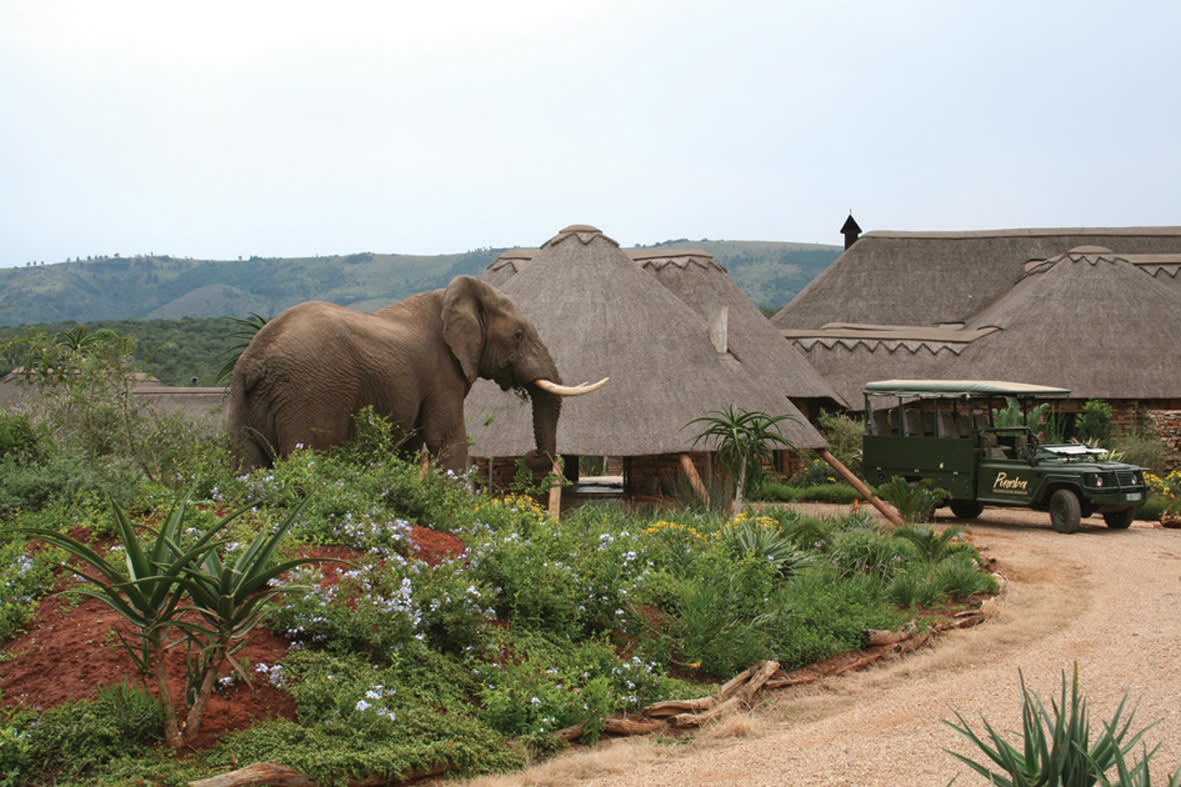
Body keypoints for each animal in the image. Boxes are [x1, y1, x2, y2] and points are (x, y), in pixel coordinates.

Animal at [228, 275, 606, 473]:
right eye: (518, 335)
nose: (530, 455)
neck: (453, 296)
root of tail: (255, 363)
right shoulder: (441, 372)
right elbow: (446, 438)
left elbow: (410, 446)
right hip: (311, 393)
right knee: (311, 455)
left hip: (243, 403)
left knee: (245, 463)